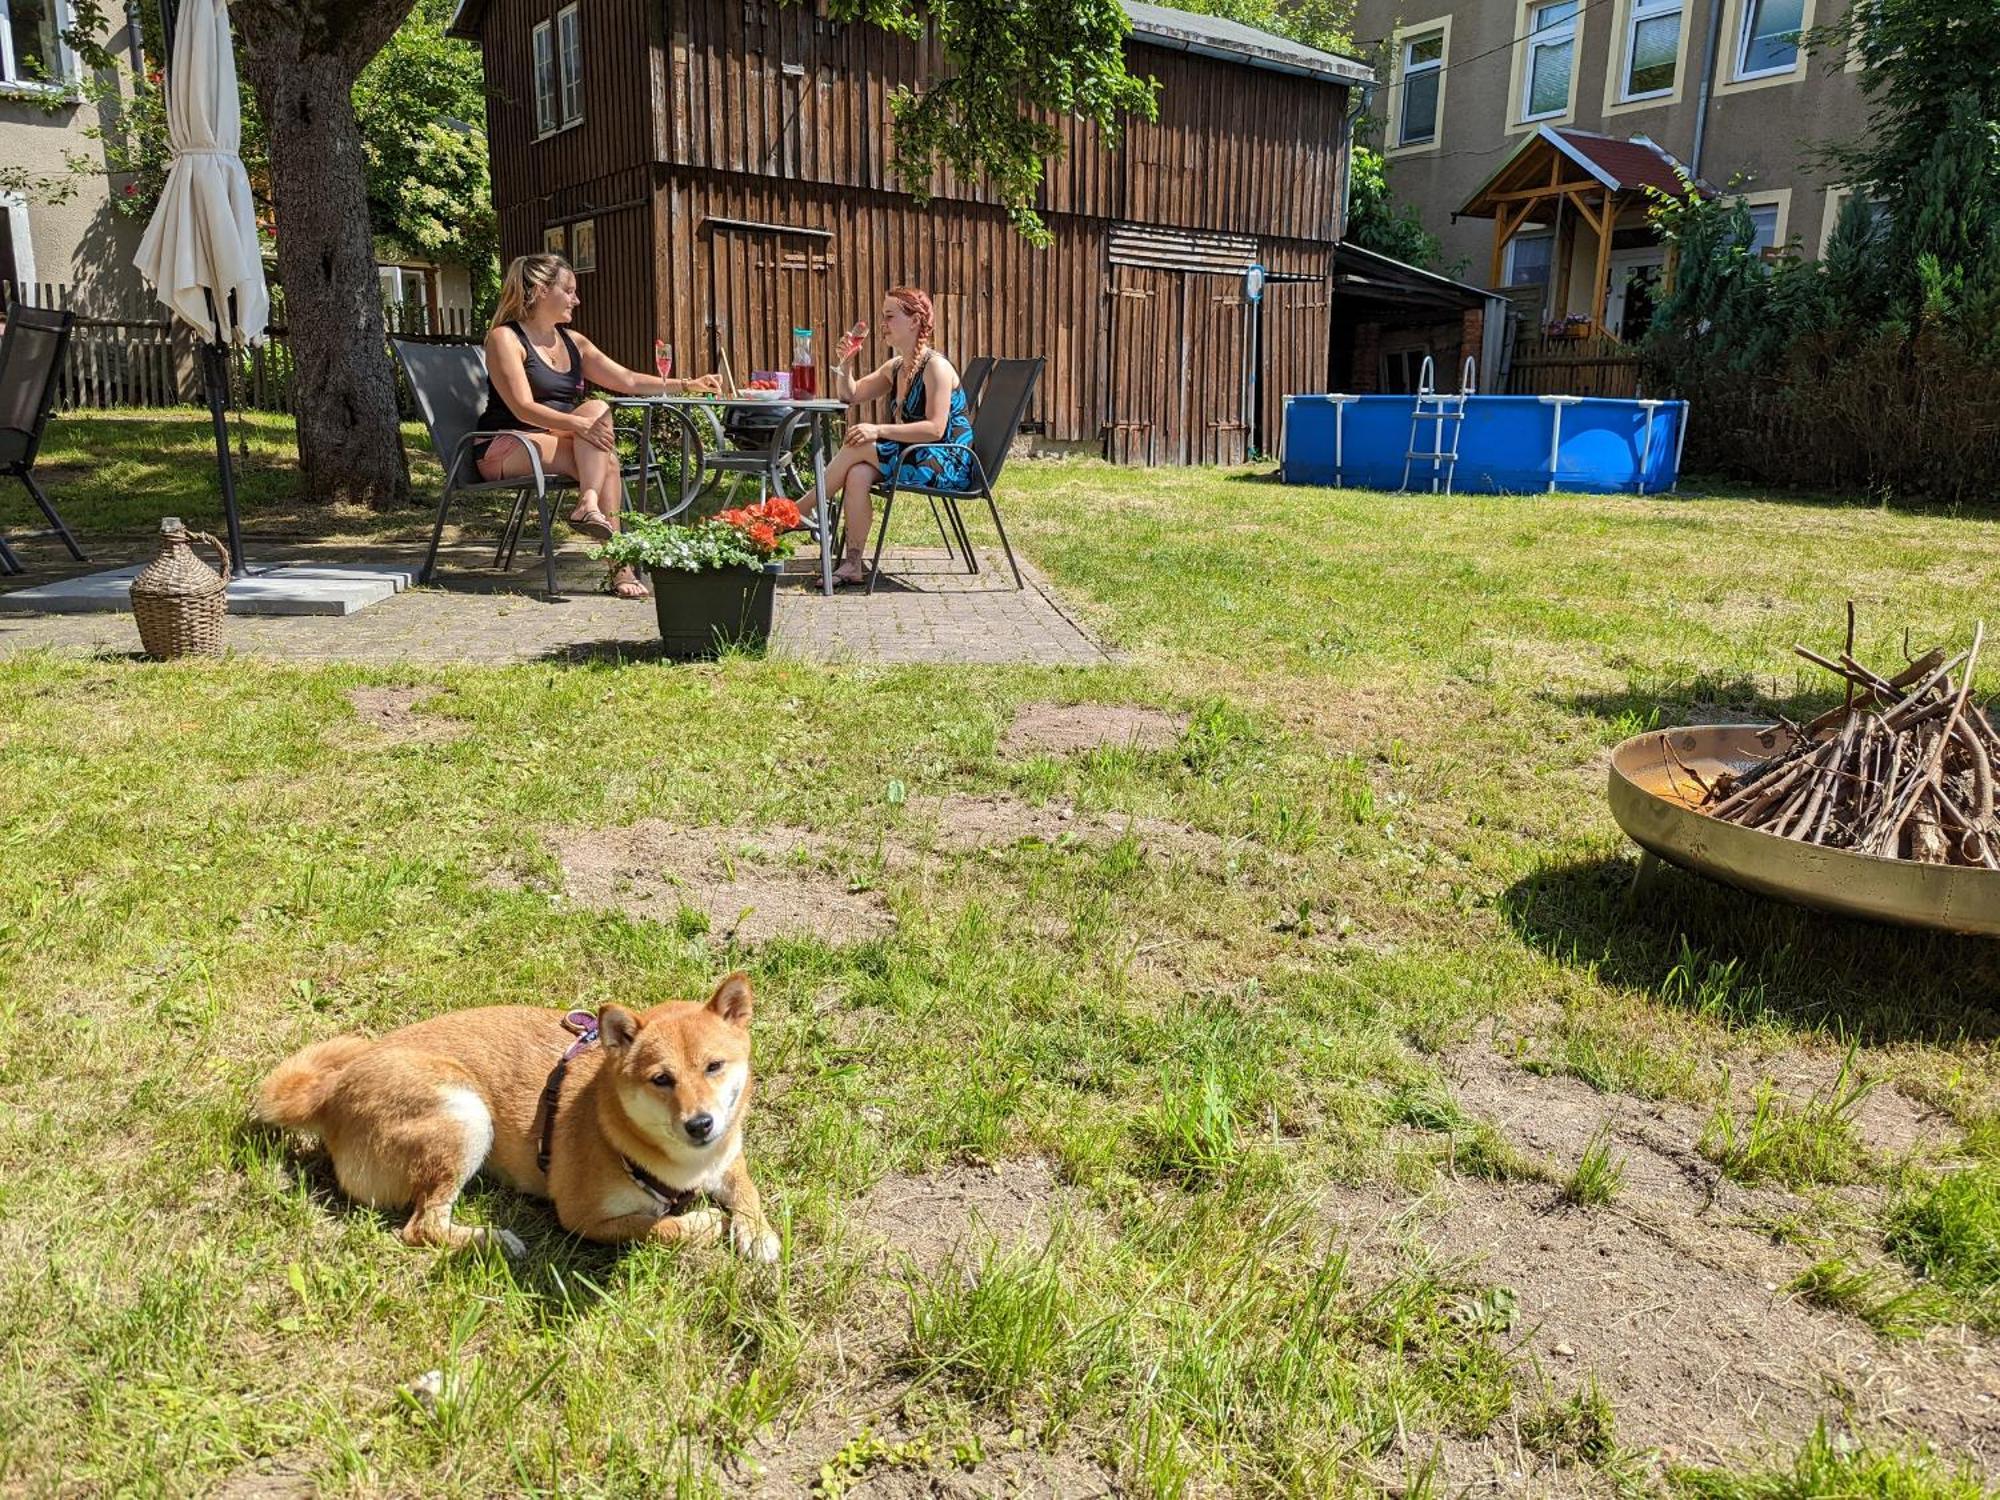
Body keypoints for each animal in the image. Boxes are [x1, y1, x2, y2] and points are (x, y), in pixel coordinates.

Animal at [252, 968, 780, 1264]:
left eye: (714, 1066)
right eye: (661, 1079)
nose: (700, 1124)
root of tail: (333, 1091)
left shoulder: (727, 1158)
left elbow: (747, 1190)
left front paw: (758, 1234)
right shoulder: (582, 1218)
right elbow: (657, 1227)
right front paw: (705, 1224)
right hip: (466, 1114)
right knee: (423, 1227)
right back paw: (494, 1241)